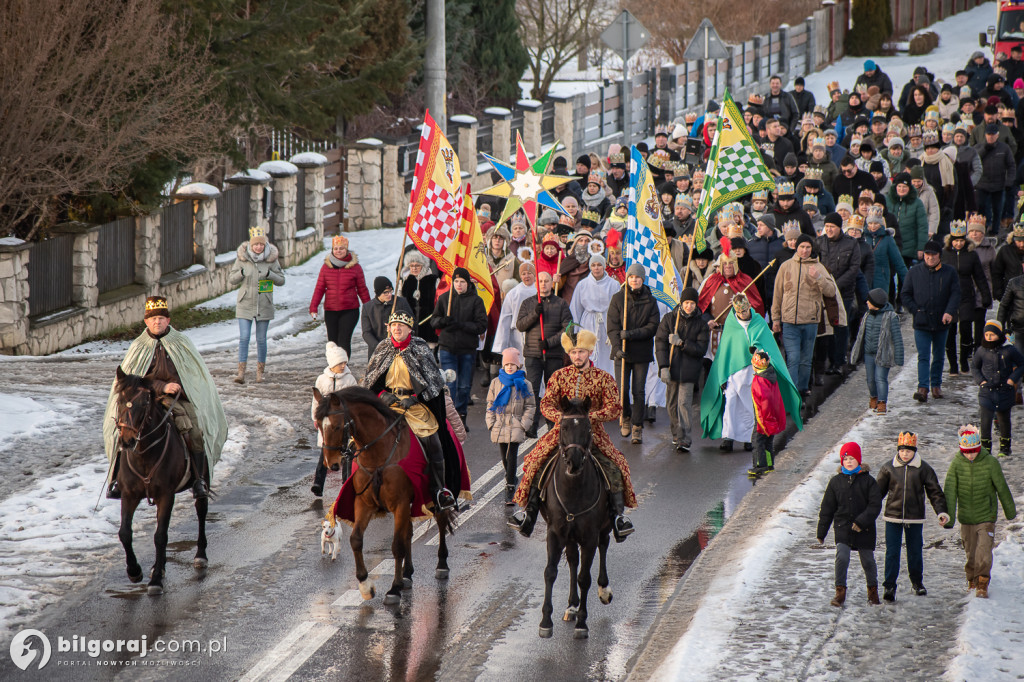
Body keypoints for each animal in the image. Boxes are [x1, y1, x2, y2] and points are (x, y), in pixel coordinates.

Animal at [112, 364, 207, 593]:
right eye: (120, 400)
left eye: (144, 403)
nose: (127, 441)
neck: (145, 455)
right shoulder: (129, 495)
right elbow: (125, 533)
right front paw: (135, 571)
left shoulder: (166, 495)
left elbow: (160, 536)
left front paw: (155, 581)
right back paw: (159, 566)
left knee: (201, 510)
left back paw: (200, 555)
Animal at [311, 385, 456, 602]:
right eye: (319, 425)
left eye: (337, 426)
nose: (332, 464)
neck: (378, 455)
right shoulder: (364, 503)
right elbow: (356, 540)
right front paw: (365, 585)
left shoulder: (400, 504)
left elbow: (397, 546)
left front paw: (394, 589)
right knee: (409, 532)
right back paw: (407, 574)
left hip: (434, 495)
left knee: (440, 520)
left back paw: (441, 565)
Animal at [540, 395, 610, 634]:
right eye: (564, 427)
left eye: (588, 427)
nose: (574, 462)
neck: (573, 489)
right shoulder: (555, 532)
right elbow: (551, 571)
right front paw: (546, 622)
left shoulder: (589, 536)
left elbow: (584, 577)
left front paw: (582, 622)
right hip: (570, 535)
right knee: (572, 560)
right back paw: (571, 606)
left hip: (605, 526)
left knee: (604, 545)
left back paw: (604, 590)